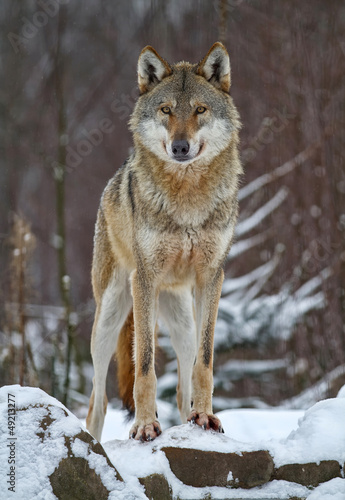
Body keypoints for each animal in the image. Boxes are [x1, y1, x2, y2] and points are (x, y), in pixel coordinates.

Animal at [86, 42, 242, 442]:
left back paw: (192, 417)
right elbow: (145, 366)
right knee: (98, 402)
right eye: (166, 110)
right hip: (109, 318)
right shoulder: (144, 279)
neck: (186, 200)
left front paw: (206, 417)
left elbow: (206, 362)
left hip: (182, 321)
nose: (180, 147)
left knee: (185, 384)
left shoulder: (211, 278)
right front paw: (144, 425)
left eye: (200, 110)